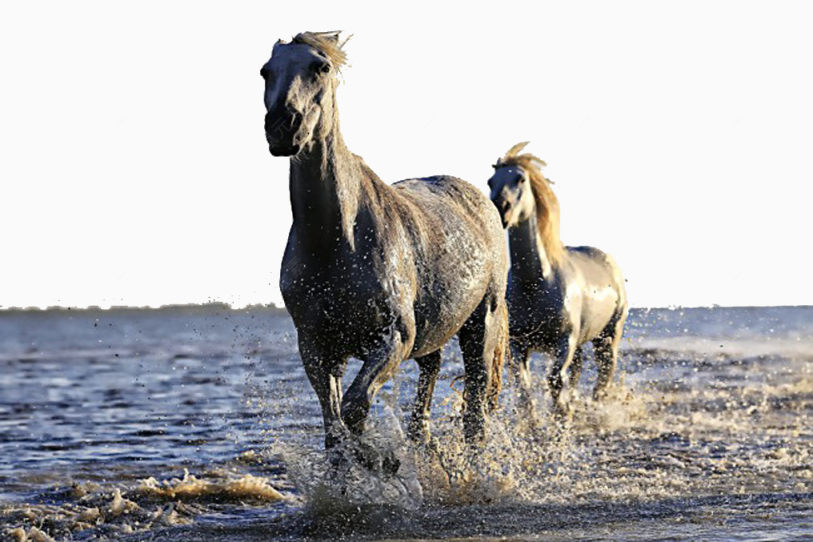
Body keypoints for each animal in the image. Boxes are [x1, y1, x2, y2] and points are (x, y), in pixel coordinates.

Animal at [486, 143, 624, 416]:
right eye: (490, 181)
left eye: (520, 179)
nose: (500, 208)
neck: (535, 283)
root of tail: (609, 261)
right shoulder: (518, 344)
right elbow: (524, 388)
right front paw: (534, 422)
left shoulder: (563, 341)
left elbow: (555, 381)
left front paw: (561, 417)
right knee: (579, 369)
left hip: (609, 335)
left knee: (605, 371)